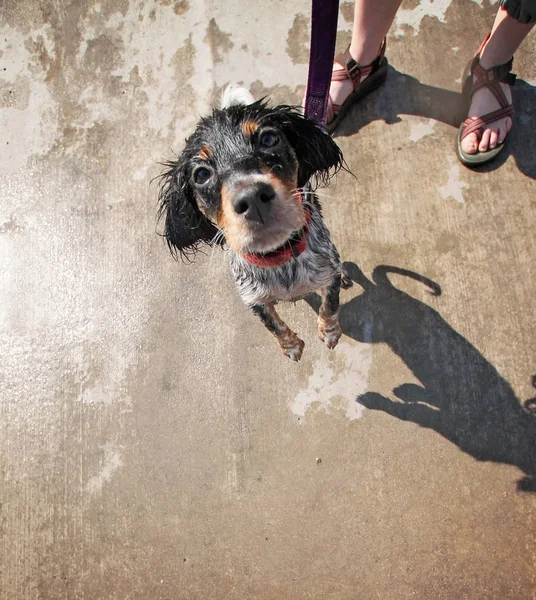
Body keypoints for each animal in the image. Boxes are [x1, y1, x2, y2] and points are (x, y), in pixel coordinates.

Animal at [158, 87, 352, 364]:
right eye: (201, 174)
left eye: (269, 139)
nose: (251, 197)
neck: (279, 258)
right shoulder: (252, 297)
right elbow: (273, 325)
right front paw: (291, 346)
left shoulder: (327, 271)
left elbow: (331, 304)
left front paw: (330, 332)